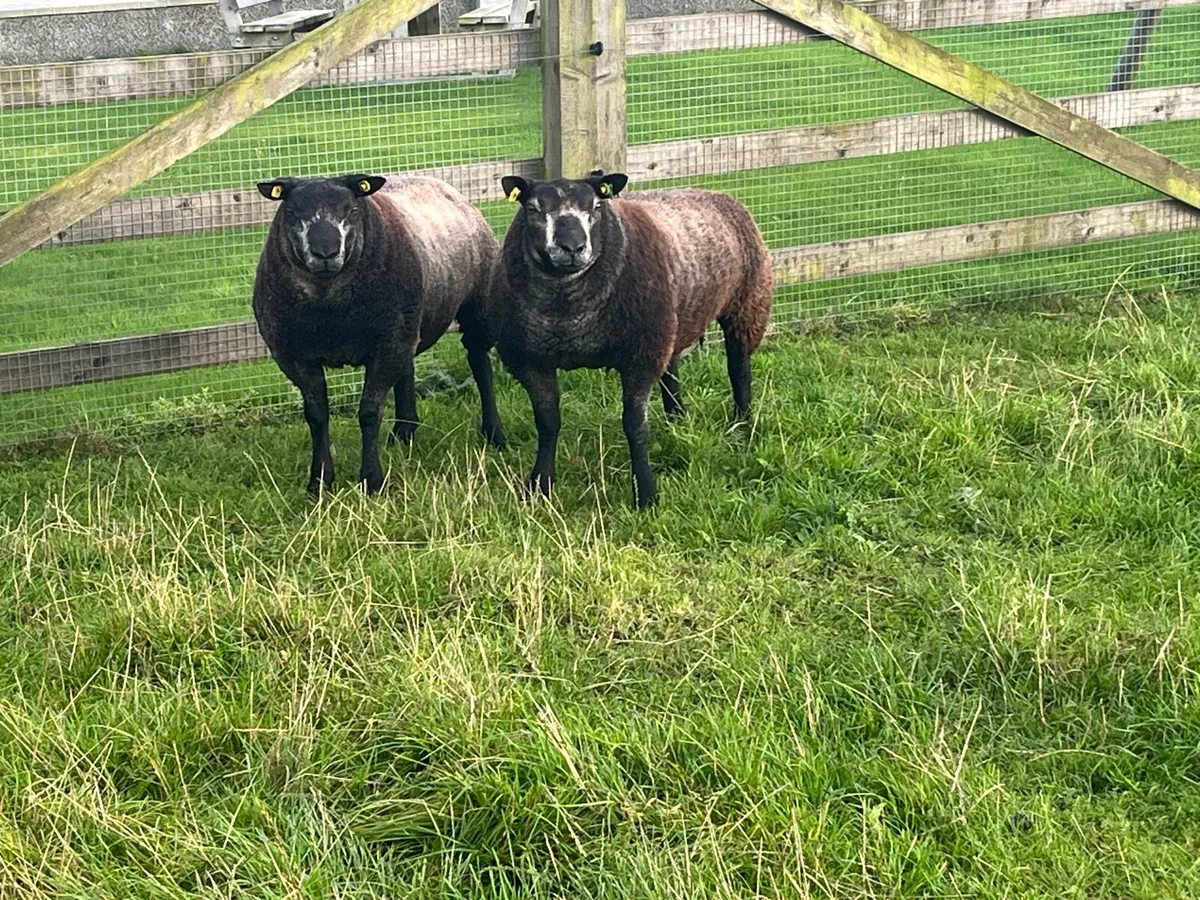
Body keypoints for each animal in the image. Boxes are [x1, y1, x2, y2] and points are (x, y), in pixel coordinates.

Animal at [253, 173, 507, 495]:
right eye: (291, 211)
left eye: (352, 209)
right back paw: (404, 433)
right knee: (408, 369)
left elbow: (370, 413)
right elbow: (317, 415)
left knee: (480, 363)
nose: (325, 253)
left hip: (475, 304)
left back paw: (494, 434)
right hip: (408, 324)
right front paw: (319, 482)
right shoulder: (293, 355)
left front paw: (372, 481)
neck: (329, 310)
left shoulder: (387, 346)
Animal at [487, 170, 773, 509]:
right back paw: (677, 418)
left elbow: (635, 425)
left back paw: (742, 423)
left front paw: (646, 494)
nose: (572, 247)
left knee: (739, 368)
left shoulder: (640, 356)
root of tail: (714, 193)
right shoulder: (529, 360)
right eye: (533, 209)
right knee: (672, 371)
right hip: (669, 324)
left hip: (747, 302)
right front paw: (538, 486)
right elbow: (547, 422)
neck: (568, 316)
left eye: (597, 207)